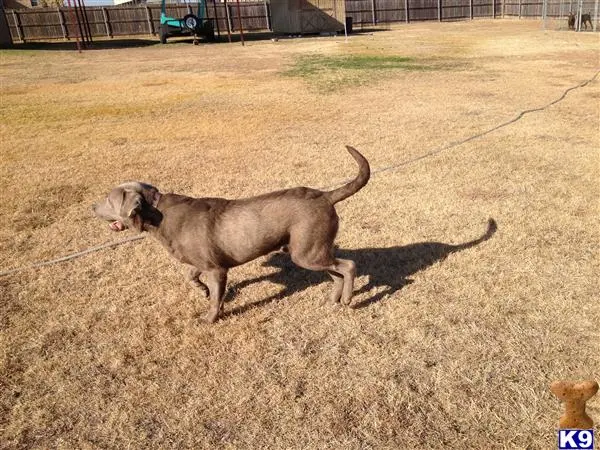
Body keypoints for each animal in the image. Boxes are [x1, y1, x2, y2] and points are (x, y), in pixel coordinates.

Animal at [94, 146, 370, 322]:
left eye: (108, 199)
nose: (91, 208)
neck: (158, 214)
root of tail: (325, 196)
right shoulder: (201, 261)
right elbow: (191, 276)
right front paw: (202, 291)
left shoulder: (217, 270)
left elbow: (216, 298)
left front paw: (209, 318)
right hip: (311, 250)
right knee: (336, 273)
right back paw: (333, 300)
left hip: (307, 253)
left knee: (348, 266)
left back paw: (347, 299)